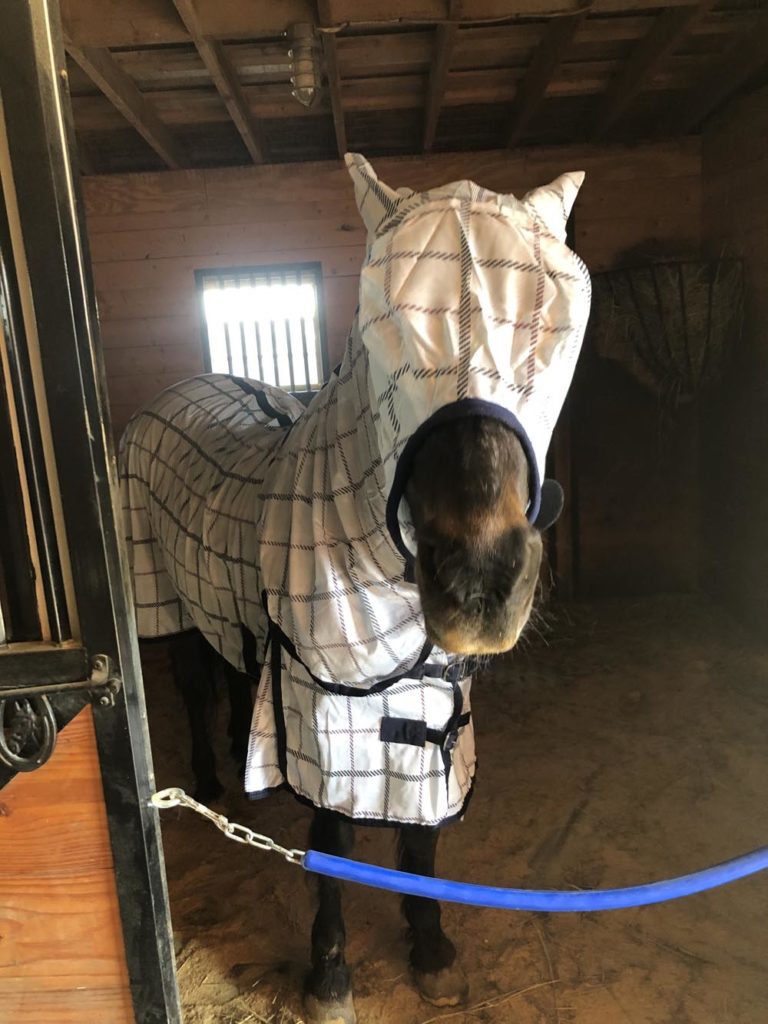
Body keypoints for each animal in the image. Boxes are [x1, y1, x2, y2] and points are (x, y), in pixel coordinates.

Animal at [120, 153, 593, 1024]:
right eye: (384, 326)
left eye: (554, 331)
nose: (479, 585)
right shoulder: (324, 717)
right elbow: (335, 844)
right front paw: (330, 972)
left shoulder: (435, 710)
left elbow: (423, 837)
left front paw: (430, 946)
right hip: (164, 605)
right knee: (194, 685)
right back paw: (207, 782)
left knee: (235, 674)